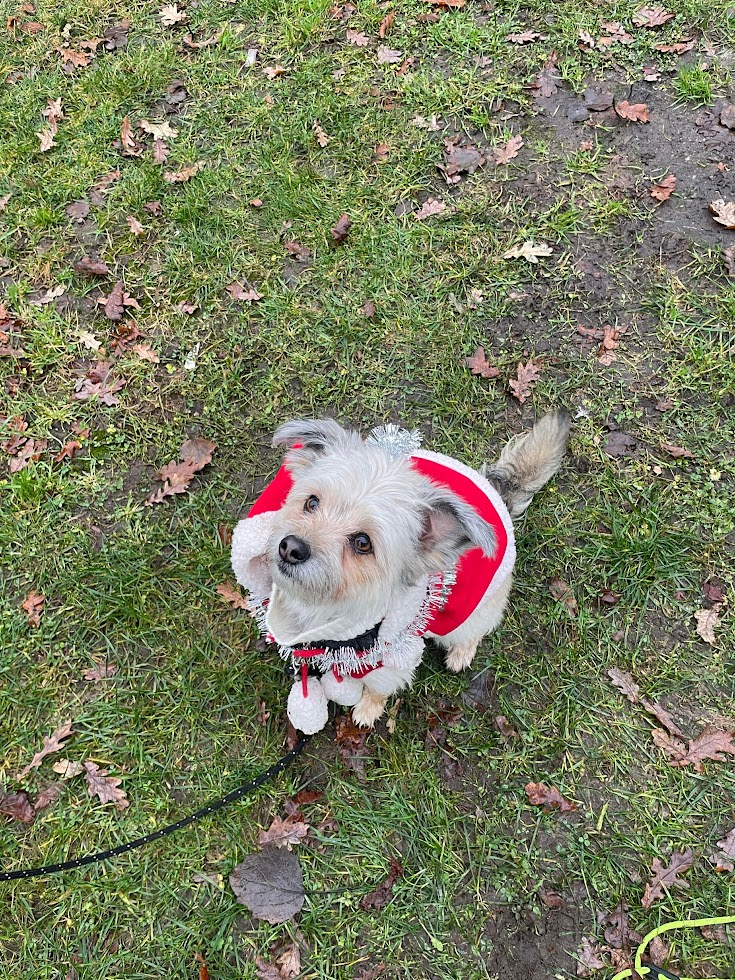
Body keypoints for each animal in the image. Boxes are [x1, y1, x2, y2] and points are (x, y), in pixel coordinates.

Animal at [231, 411, 570, 731]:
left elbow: (377, 689)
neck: (322, 609)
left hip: (468, 611)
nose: (290, 547)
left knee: (475, 629)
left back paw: (461, 652)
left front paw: (368, 709)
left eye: (363, 543)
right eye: (311, 502)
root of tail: (497, 491)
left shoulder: (391, 659)